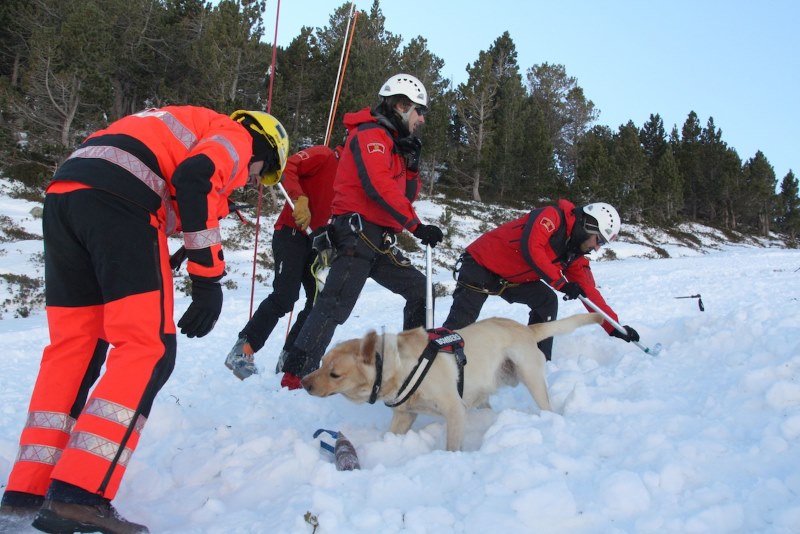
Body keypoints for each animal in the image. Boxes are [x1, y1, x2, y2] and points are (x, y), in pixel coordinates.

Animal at [304, 314, 604, 452]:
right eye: (322, 362)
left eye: (334, 374)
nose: (305, 383)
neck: (399, 367)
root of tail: (526, 328)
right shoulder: (404, 416)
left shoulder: (455, 410)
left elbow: (452, 445)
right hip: (482, 396)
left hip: (531, 379)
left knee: (547, 406)